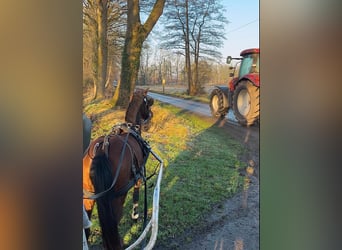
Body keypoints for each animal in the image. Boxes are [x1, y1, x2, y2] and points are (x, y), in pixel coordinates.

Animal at [83, 89, 154, 249]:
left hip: (89, 197)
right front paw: (135, 216)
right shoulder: (138, 177)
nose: (151, 116)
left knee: (87, 229)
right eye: (147, 101)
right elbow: (136, 196)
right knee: (114, 221)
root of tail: (101, 149)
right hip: (117, 197)